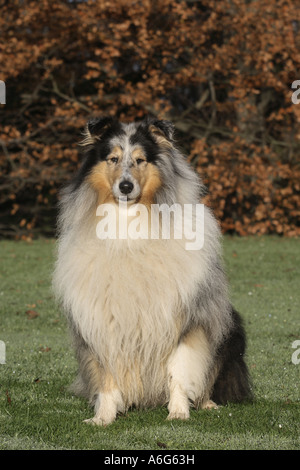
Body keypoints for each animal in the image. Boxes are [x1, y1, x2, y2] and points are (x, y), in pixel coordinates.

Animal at [52, 115, 252, 424]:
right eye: (113, 158)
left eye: (140, 160)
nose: (125, 186)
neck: (128, 226)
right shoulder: (102, 322)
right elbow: (107, 376)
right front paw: (103, 418)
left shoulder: (184, 318)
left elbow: (180, 370)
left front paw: (179, 412)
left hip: (229, 329)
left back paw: (206, 404)